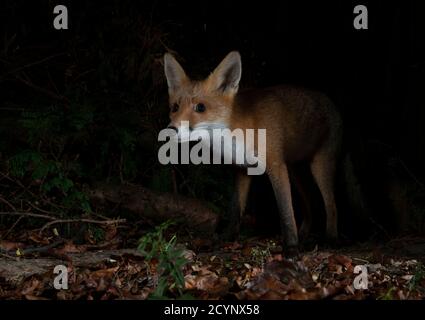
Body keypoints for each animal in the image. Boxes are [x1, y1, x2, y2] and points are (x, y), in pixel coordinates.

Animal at [161, 51, 342, 254]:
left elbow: (285, 211)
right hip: (295, 171)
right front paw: (227, 239)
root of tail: (329, 100)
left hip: (320, 166)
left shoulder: (276, 166)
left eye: (200, 107)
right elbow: (236, 209)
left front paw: (291, 248)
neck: (238, 132)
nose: (171, 130)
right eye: (175, 107)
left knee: (331, 205)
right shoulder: (243, 168)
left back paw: (331, 240)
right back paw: (304, 235)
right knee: (310, 204)